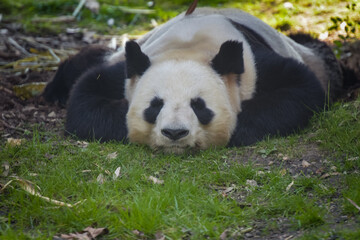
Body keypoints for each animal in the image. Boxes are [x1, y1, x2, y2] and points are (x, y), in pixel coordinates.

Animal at [42, 7, 346, 154]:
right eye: (155, 105)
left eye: (200, 106)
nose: (174, 133)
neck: (190, 45)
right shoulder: (131, 68)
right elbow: (84, 100)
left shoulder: (254, 63)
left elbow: (301, 89)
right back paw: (54, 91)